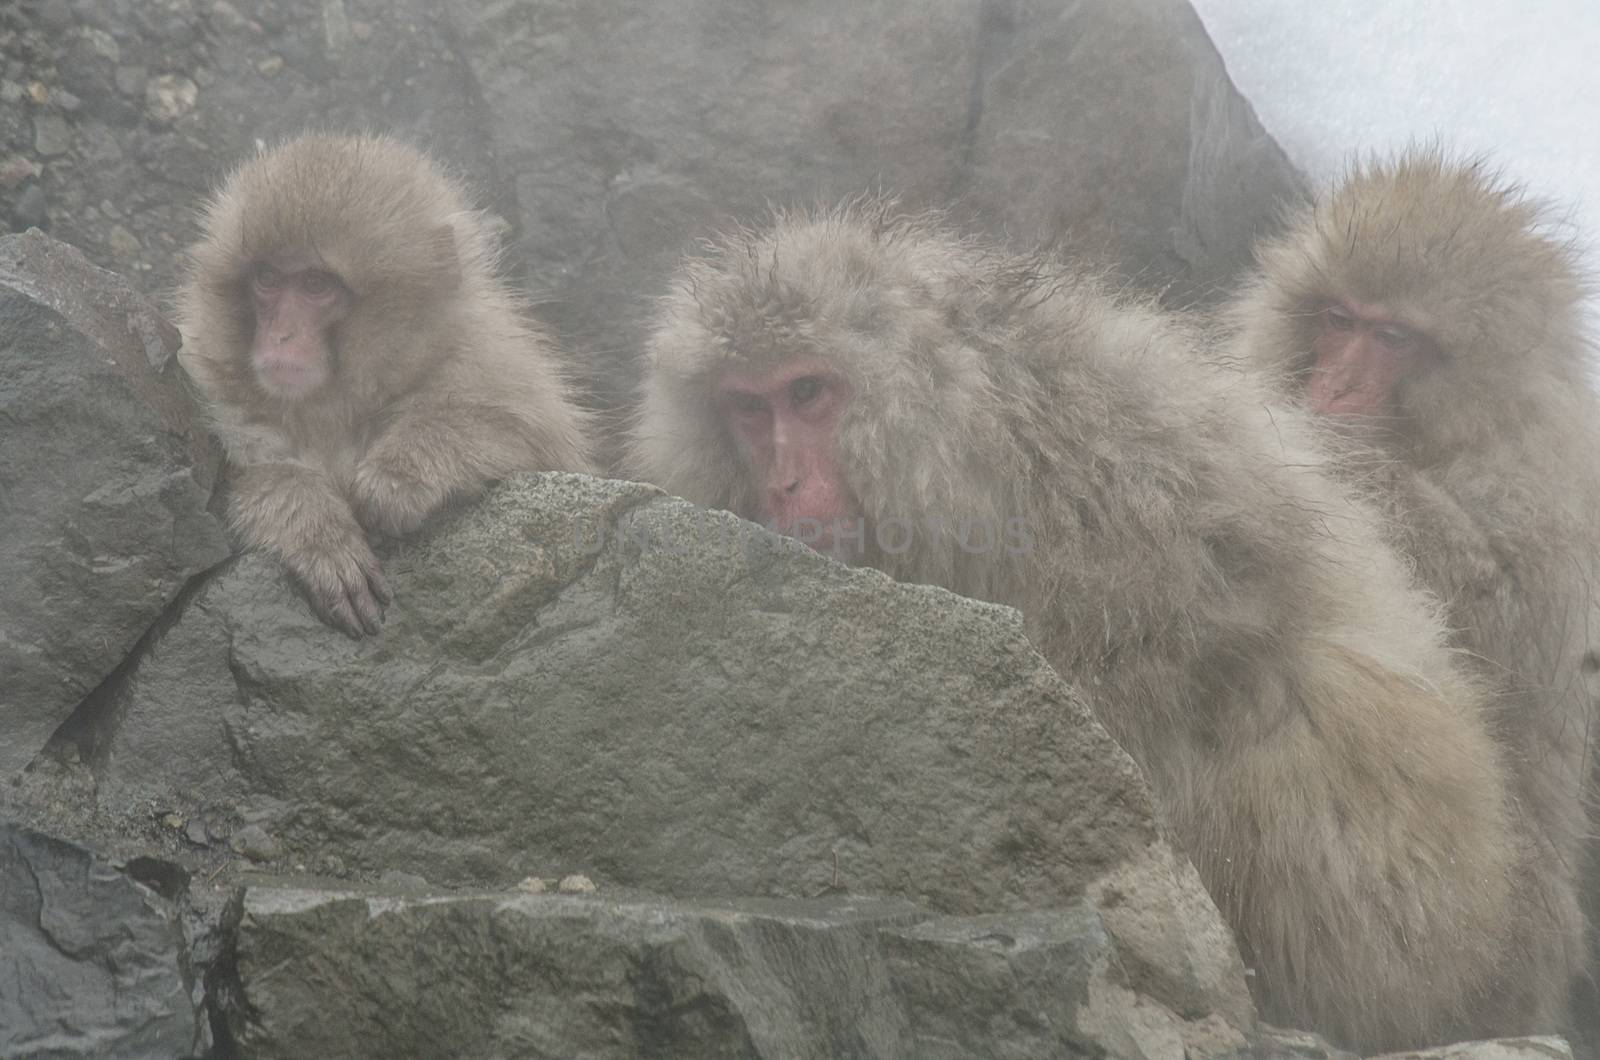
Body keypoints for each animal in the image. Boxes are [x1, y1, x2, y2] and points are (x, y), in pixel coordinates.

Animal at [175, 128, 598, 634]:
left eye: (316, 285)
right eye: (267, 278)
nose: (279, 336)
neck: (338, 406)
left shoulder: (484, 358)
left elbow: (521, 434)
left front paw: (398, 474)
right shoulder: (207, 381)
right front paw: (315, 530)